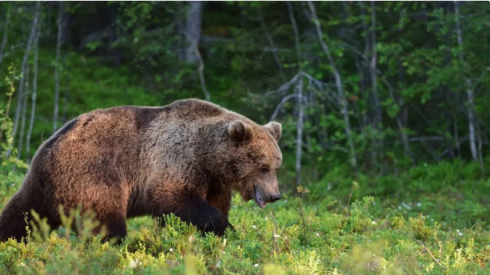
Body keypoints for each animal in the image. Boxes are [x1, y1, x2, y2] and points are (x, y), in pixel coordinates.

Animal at [0, 98, 284, 243]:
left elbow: (214, 204)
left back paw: (10, 240)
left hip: (40, 185)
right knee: (105, 221)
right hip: (93, 174)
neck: (209, 157)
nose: (275, 195)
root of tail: (48, 147)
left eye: (276, 165)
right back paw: (112, 246)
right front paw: (224, 227)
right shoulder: (177, 160)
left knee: (21, 214)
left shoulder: (214, 180)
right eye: (263, 166)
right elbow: (173, 198)